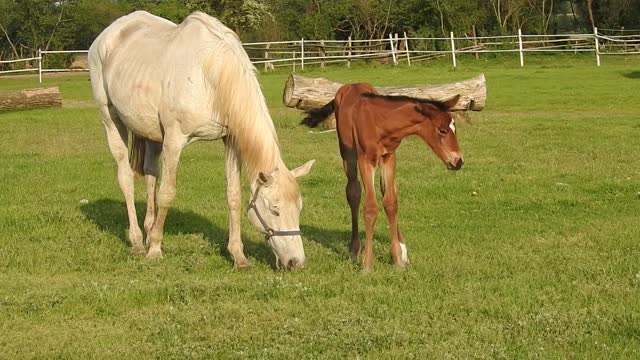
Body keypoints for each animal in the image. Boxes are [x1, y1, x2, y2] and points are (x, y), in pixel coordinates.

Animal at [89, 10, 314, 270]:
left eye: (299, 208)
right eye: (274, 210)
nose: (295, 262)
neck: (209, 73)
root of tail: (105, 36)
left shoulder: (230, 141)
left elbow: (233, 196)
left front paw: (238, 256)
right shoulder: (174, 141)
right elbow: (167, 194)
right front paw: (155, 249)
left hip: (151, 135)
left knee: (150, 174)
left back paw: (147, 230)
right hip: (111, 120)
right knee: (125, 177)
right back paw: (137, 241)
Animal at [302, 83, 462, 270]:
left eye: (455, 129)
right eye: (442, 130)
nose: (458, 161)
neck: (382, 122)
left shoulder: (389, 157)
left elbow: (391, 202)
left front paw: (398, 259)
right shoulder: (366, 159)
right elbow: (370, 207)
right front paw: (367, 264)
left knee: (385, 189)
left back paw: (401, 249)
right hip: (348, 154)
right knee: (353, 192)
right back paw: (354, 251)